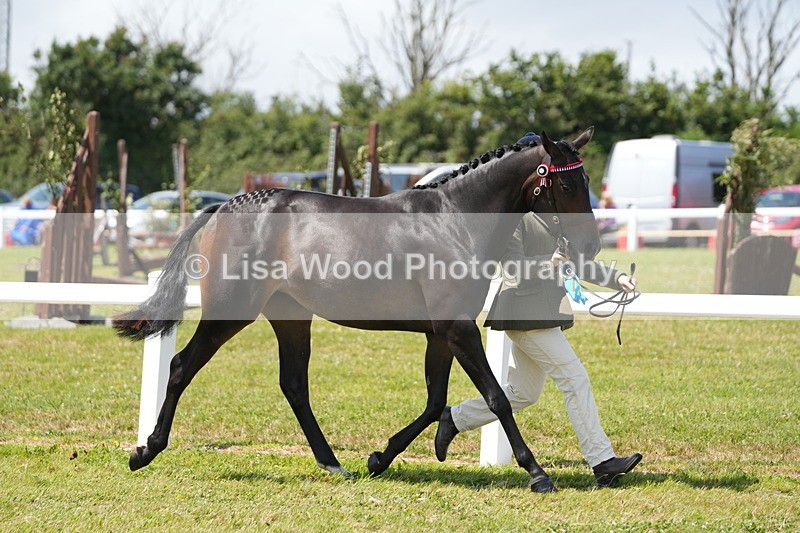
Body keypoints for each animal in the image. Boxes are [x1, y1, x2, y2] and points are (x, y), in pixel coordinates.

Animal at [113, 128, 600, 493]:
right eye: (568, 183)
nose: (591, 247)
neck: (455, 220)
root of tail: (225, 206)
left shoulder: (441, 333)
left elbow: (435, 402)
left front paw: (379, 458)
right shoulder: (457, 329)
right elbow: (496, 397)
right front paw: (536, 472)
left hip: (290, 316)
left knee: (294, 384)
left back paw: (333, 463)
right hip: (231, 311)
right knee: (181, 366)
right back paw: (145, 451)